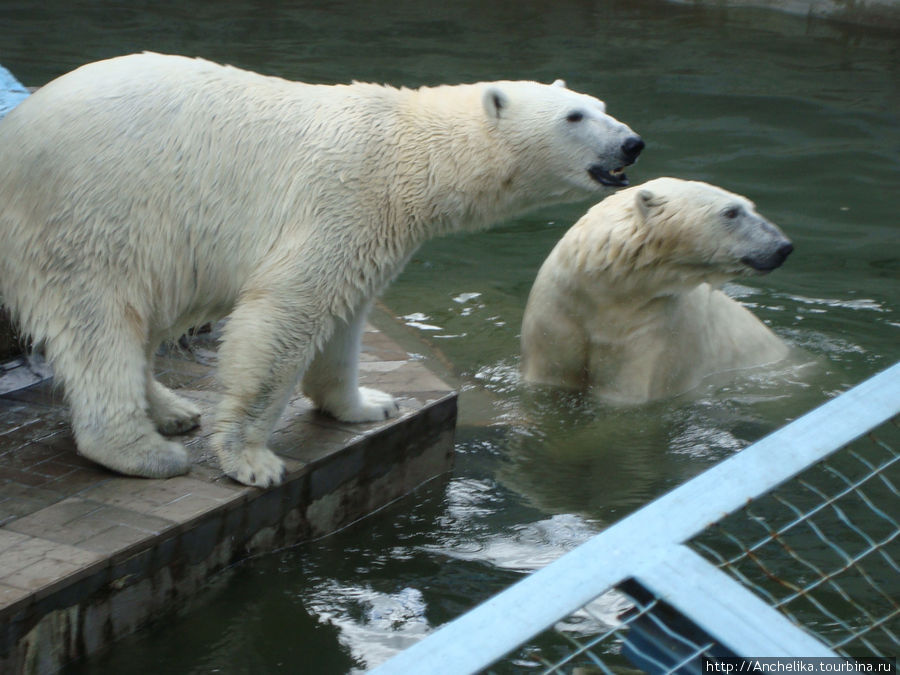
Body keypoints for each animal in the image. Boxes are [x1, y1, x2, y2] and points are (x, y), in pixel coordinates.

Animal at [0, 52, 648, 486]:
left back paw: (172, 410)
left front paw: (367, 404)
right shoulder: (340, 196)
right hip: (90, 212)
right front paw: (252, 460)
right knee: (98, 322)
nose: (633, 143)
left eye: (601, 107)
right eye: (573, 116)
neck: (407, 148)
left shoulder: (374, 227)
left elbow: (345, 314)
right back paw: (144, 451)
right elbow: (287, 312)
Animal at [520, 177, 796, 404]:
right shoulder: (559, 311)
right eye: (731, 212)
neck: (609, 289)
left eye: (751, 206)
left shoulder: (655, 330)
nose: (783, 246)